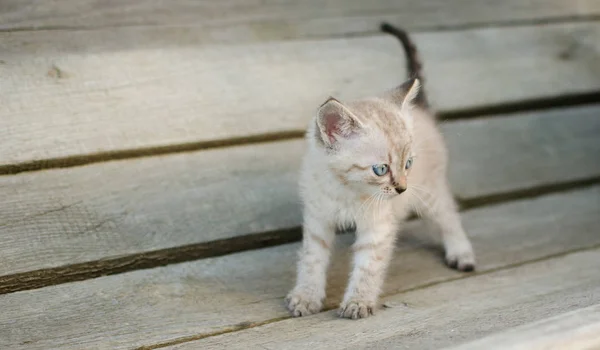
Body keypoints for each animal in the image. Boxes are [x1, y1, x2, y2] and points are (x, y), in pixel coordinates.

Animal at [284, 22, 476, 320]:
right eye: (381, 169)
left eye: (408, 164)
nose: (402, 188)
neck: (346, 190)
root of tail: (419, 109)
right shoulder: (318, 219)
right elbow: (311, 260)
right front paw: (306, 297)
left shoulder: (377, 226)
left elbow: (368, 266)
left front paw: (358, 302)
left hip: (430, 192)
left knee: (448, 216)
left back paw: (461, 253)